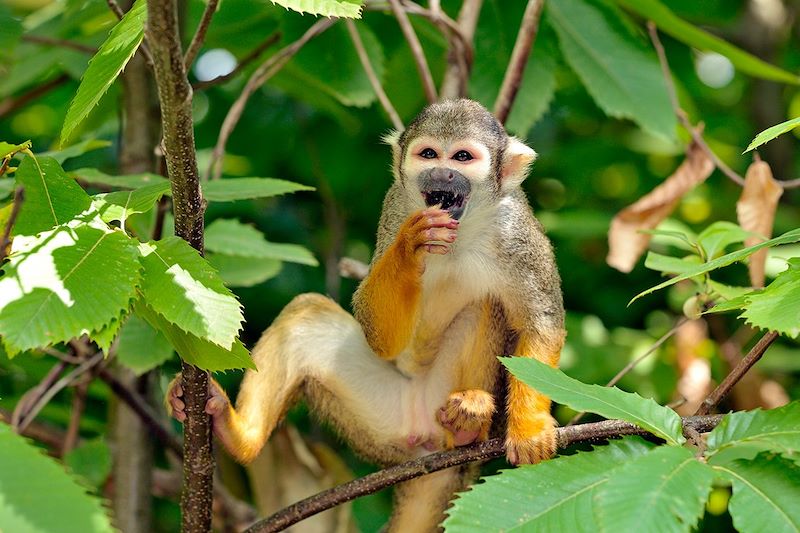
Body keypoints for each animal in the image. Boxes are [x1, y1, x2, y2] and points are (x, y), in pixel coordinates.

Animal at [164, 97, 564, 528]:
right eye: (429, 154)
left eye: (462, 157)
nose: (442, 173)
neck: (461, 233)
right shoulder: (395, 207)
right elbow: (380, 336)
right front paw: (410, 245)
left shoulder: (515, 232)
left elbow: (542, 324)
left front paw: (529, 432)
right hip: (383, 424)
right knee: (307, 314)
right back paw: (237, 434)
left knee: (485, 305)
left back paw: (468, 426)